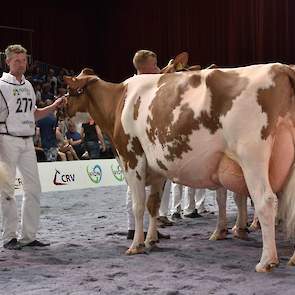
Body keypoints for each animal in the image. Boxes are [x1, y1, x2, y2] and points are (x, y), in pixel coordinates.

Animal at [63, 62, 295, 272]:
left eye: (70, 91)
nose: (60, 111)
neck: (120, 100)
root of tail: (281, 68)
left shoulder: (132, 158)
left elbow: (138, 206)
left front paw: (136, 244)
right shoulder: (157, 169)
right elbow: (153, 205)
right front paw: (152, 239)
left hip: (251, 157)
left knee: (265, 201)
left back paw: (267, 261)